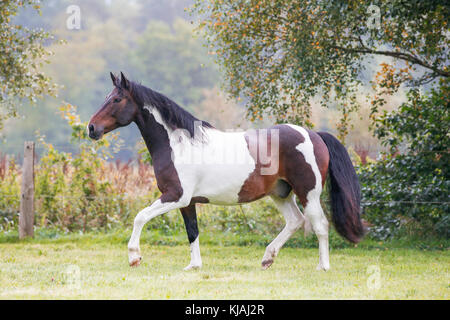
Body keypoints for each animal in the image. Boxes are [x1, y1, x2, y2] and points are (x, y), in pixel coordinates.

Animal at [88, 72, 366, 270]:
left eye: (116, 99)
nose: (92, 128)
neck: (179, 144)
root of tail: (313, 134)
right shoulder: (187, 202)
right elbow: (192, 231)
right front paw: (194, 266)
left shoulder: (175, 196)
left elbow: (140, 217)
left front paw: (134, 257)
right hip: (280, 193)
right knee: (295, 221)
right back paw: (267, 258)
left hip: (308, 193)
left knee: (320, 224)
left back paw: (322, 266)